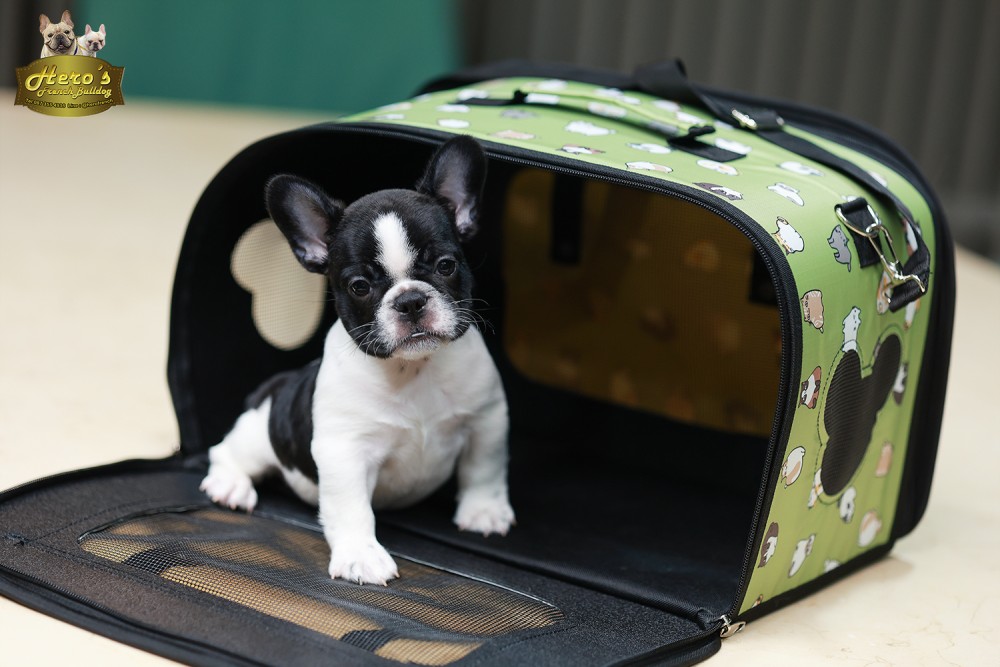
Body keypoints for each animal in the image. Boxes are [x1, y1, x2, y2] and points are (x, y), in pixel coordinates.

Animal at [200, 136, 515, 585]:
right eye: (360, 286)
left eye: (446, 265)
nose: (410, 300)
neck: (413, 368)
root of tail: (275, 386)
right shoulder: (345, 450)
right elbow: (351, 509)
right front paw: (361, 556)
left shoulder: (486, 420)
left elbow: (484, 469)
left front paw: (484, 511)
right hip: (261, 433)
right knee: (226, 451)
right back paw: (230, 486)